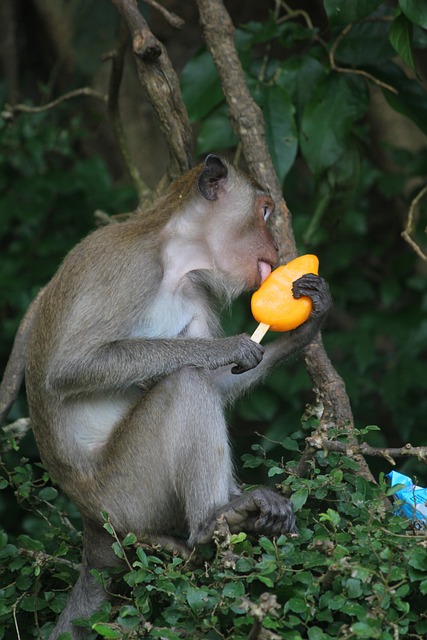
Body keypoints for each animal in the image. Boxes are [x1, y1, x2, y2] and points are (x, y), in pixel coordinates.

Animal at [21, 152, 332, 636]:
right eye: (265, 212)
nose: (279, 251)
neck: (175, 259)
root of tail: (92, 525)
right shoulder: (127, 266)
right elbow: (70, 368)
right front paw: (229, 347)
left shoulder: (196, 290)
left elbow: (224, 382)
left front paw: (306, 325)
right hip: (128, 497)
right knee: (185, 382)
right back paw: (212, 519)